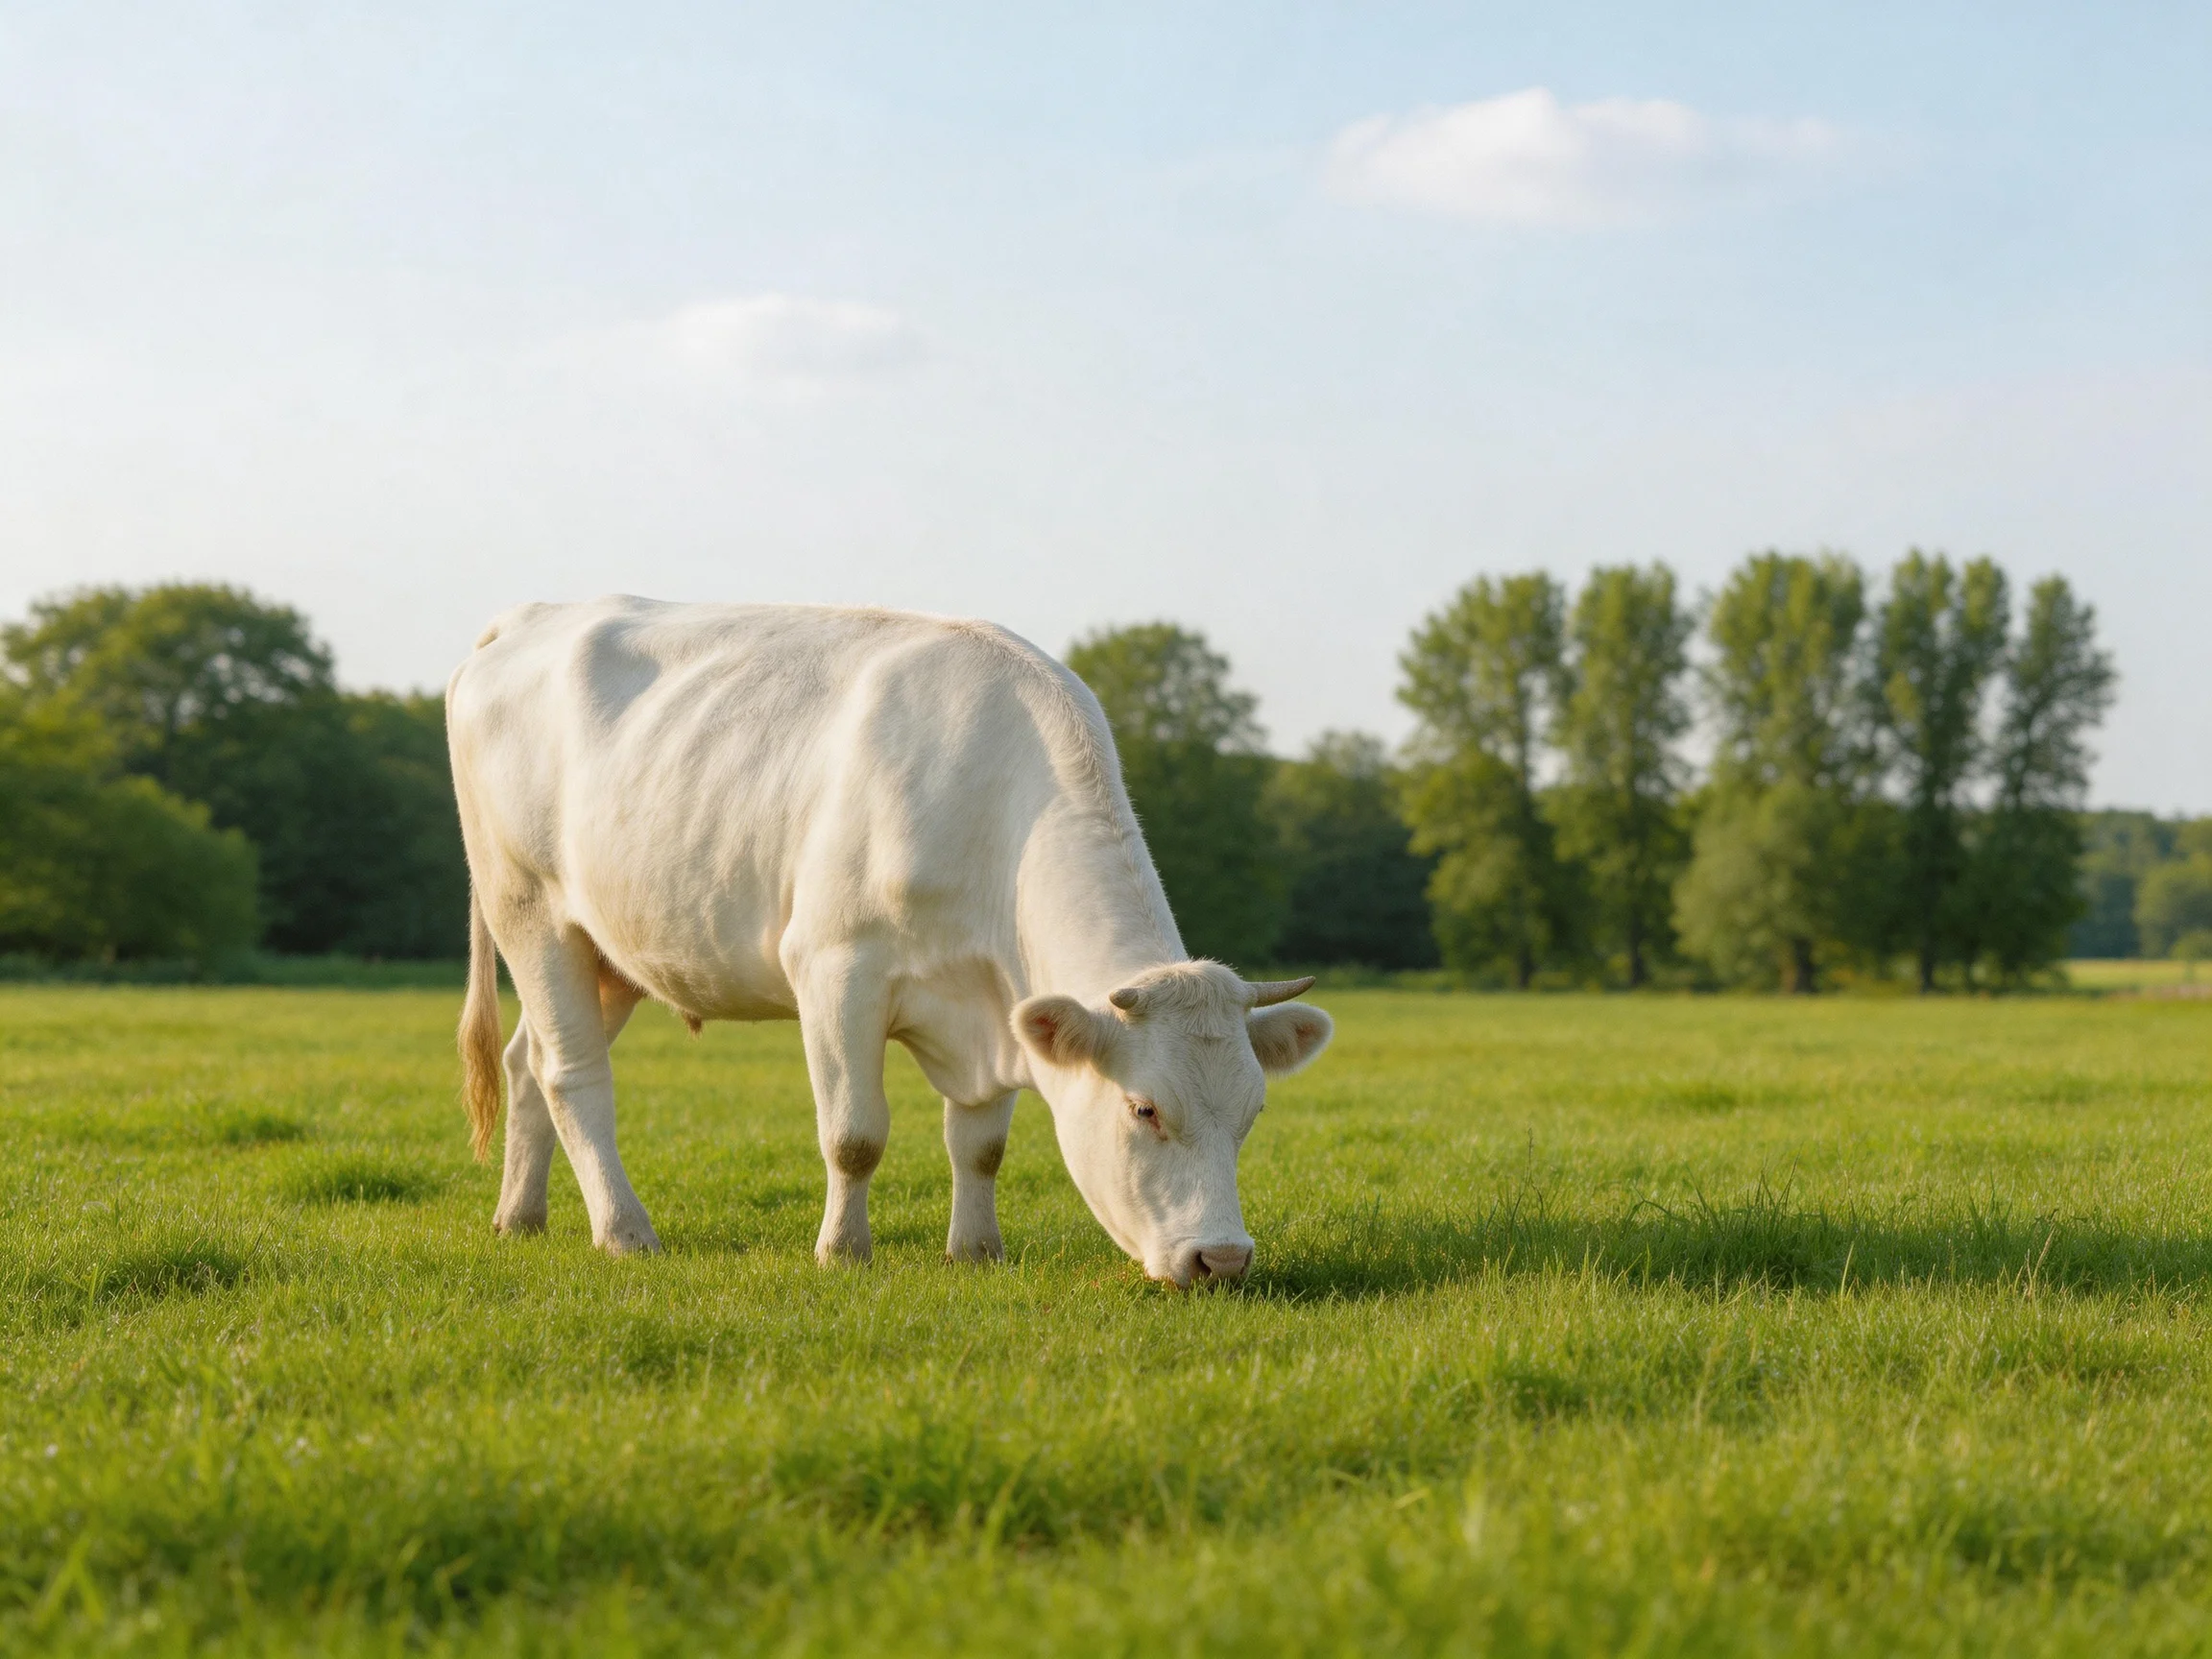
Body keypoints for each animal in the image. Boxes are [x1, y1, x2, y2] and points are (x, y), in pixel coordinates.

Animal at [446, 598, 1333, 1286]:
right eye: (1143, 1108)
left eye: (1253, 1110)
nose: (1223, 1260)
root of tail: (523, 619)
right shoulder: (836, 970)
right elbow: (855, 1135)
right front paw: (843, 1252)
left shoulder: (999, 1004)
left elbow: (980, 1145)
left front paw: (976, 1252)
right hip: (532, 910)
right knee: (572, 1075)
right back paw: (625, 1233)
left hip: (612, 955)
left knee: (525, 1061)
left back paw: (518, 1216)